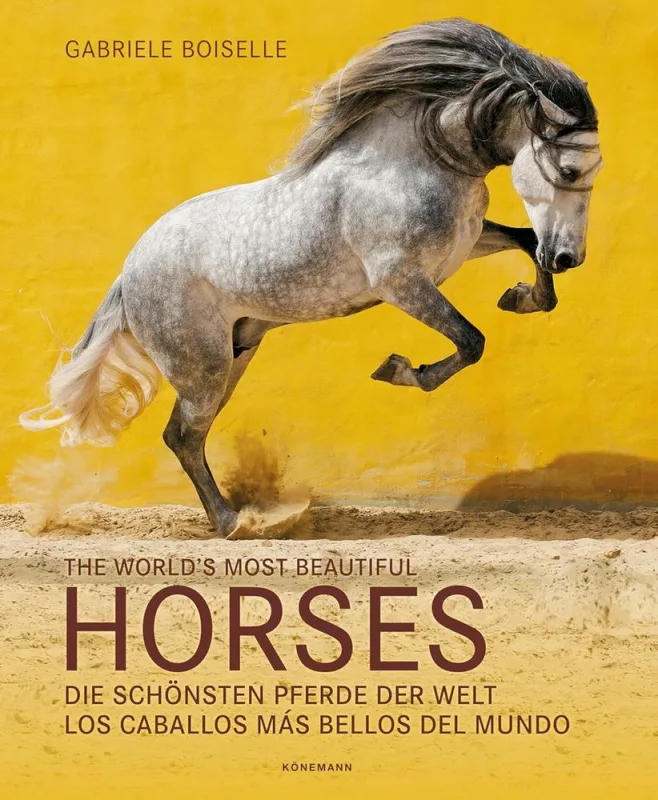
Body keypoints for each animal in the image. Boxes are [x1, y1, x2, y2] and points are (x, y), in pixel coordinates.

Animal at [20, 19, 603, 536]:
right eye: (570, 171)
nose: (570, 257)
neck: (415, 162)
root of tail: (130, 272)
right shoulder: (401, 282)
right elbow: (471, 340)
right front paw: (399, 370)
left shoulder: (462, 248)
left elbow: (526, 246)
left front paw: (522, 297)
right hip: (202, 367)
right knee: (183, 435)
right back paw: (234, 523)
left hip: (235, 354)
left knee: (185, 436)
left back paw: (234, 519)